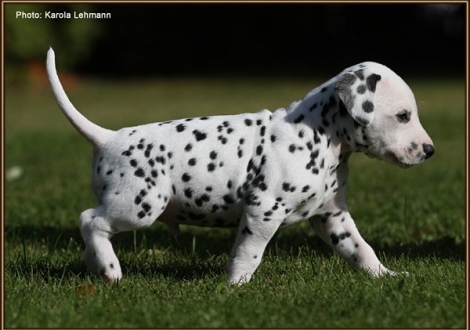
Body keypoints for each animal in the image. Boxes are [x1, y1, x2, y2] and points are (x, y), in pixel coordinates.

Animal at [46, 48, 436, 284]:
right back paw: (111, 269)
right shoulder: (264, 210)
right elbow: (249, 252)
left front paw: (384, 275)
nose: (430, 151)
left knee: (92, 231)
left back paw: (98, 266)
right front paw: (236, 285)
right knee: (90, 220)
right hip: (138, 206)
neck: (318, 136)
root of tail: (108, 137)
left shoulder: (331, 215)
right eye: (403, 116)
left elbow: (360, 248)